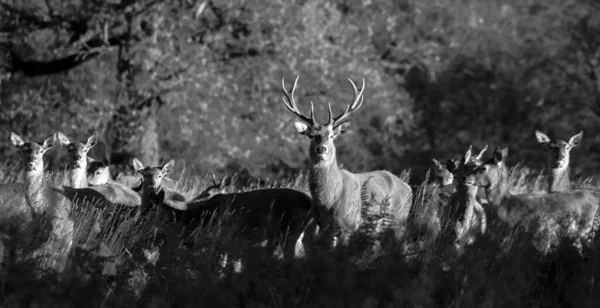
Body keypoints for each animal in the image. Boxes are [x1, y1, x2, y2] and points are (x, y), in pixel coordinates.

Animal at [282, 76, 412, 247]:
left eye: (332, 136)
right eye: (311, 135)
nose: (321, 149)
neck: (330, 201)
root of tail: (409, 188)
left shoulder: (349, 224)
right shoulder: (323, 225)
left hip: (399, 220)